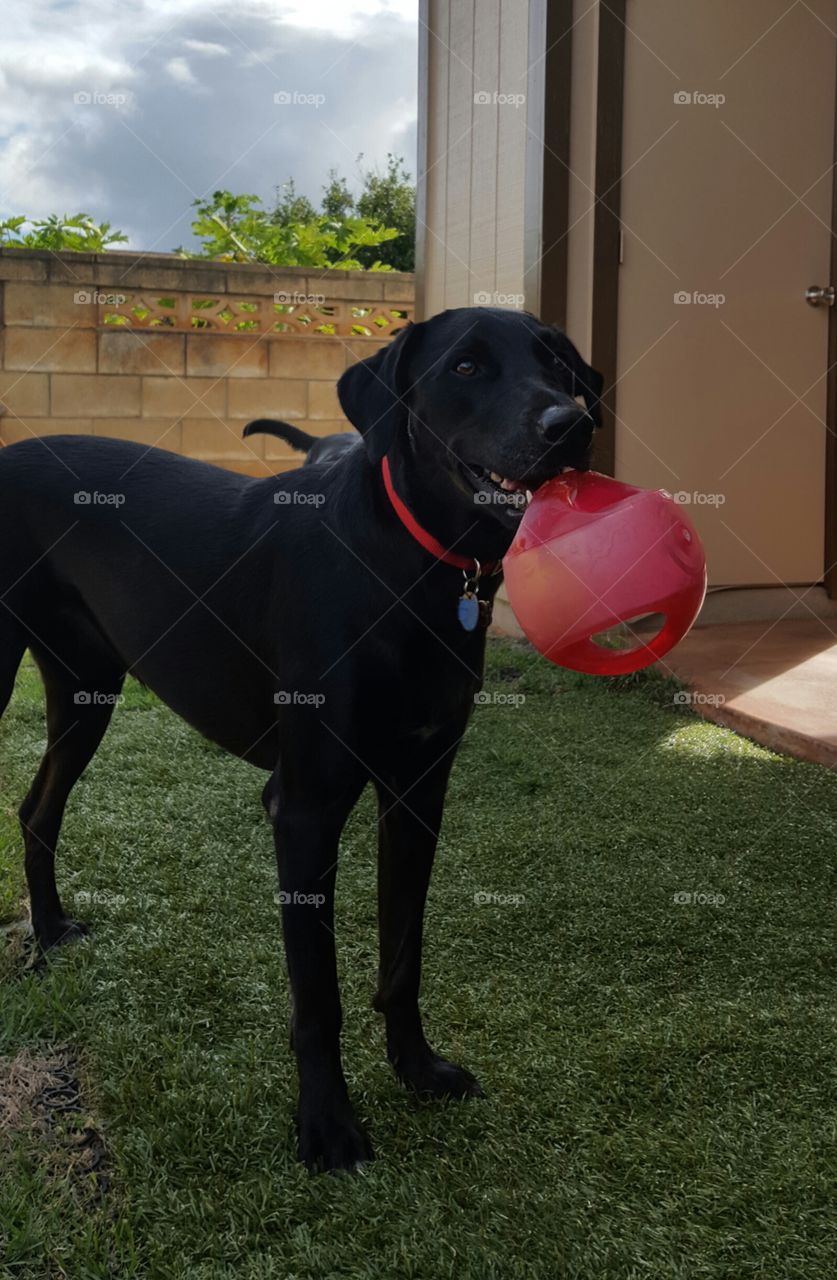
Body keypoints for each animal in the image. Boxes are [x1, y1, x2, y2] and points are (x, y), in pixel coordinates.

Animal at [0, 307, 604, 1172]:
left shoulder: (418, 791)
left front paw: (416, 1069)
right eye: (464, 366)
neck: (406, 566)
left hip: (88, 688)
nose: (571, 425)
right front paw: (327, 1127)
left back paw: (49, 934)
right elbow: (317, 993)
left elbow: (403, 952)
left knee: (37, 807)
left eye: (558, 363)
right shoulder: (305, 806)